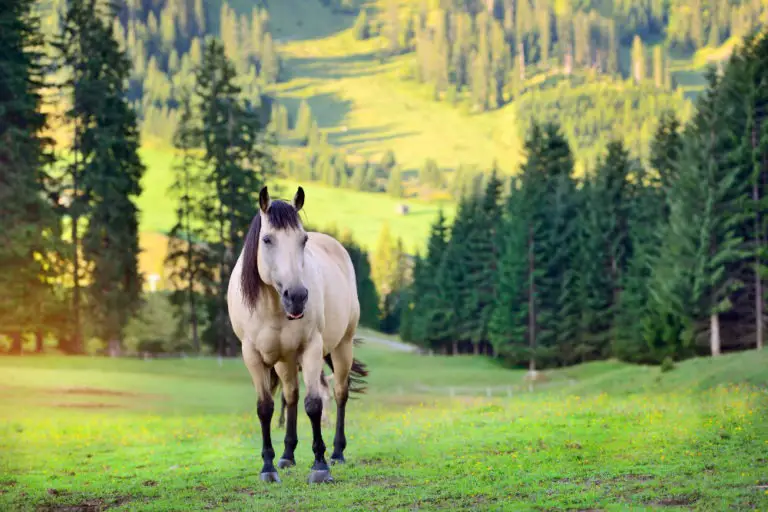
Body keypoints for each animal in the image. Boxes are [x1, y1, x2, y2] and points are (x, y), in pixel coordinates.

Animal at [225, 185, 368, 484]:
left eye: (303, 240)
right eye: (267, 239)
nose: (298, 297)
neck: (272, 306)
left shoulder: (311, 348)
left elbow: (313, 404)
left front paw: (320, 466)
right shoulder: (252, 355)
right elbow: (265, 407)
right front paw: (268, 467)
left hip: (342, 346)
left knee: (340, 393)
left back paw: (337, 453)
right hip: (284, 360)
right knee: (290, 396)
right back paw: (287, 456)